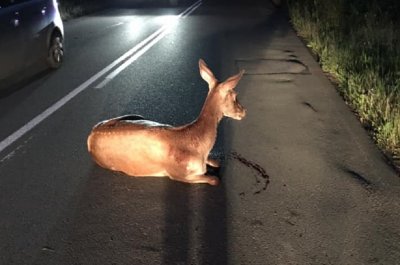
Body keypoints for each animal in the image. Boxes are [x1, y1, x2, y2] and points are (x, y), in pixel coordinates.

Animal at [86, 58, 245, 185]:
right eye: (235, 96)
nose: (244, 111)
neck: (199, 144)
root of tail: (90, 137)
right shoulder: (177, 173)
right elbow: (214, 179)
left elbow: (216, 162)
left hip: (136, 115)